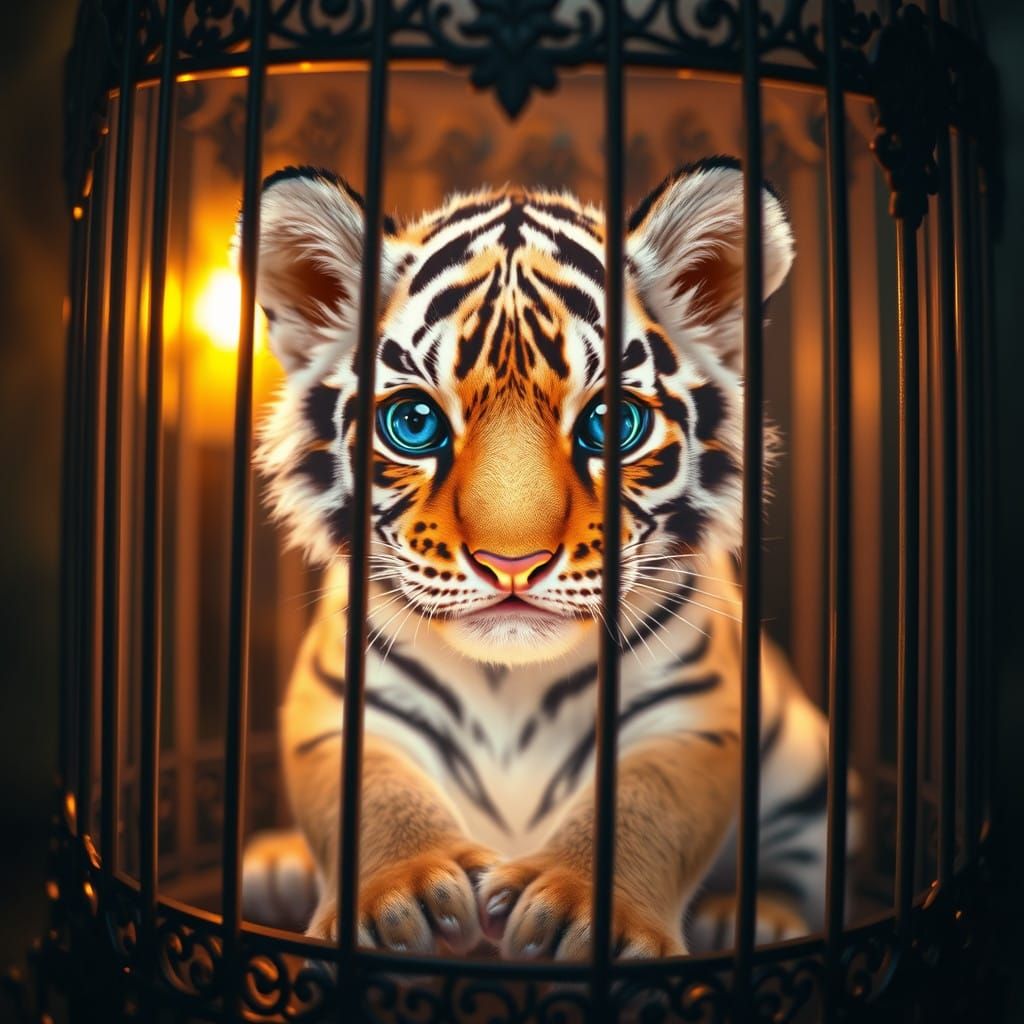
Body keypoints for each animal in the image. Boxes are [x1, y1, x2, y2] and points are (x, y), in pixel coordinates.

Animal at [240, 157, 853, 960]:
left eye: (612, 423)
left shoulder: (692, 716)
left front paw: (580, 912)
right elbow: (372, 797)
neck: (511, 686)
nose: (512, 563)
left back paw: (758, 916)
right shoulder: (342, 705)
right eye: (414, 422)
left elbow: (646, 806)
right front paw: (406, 896)